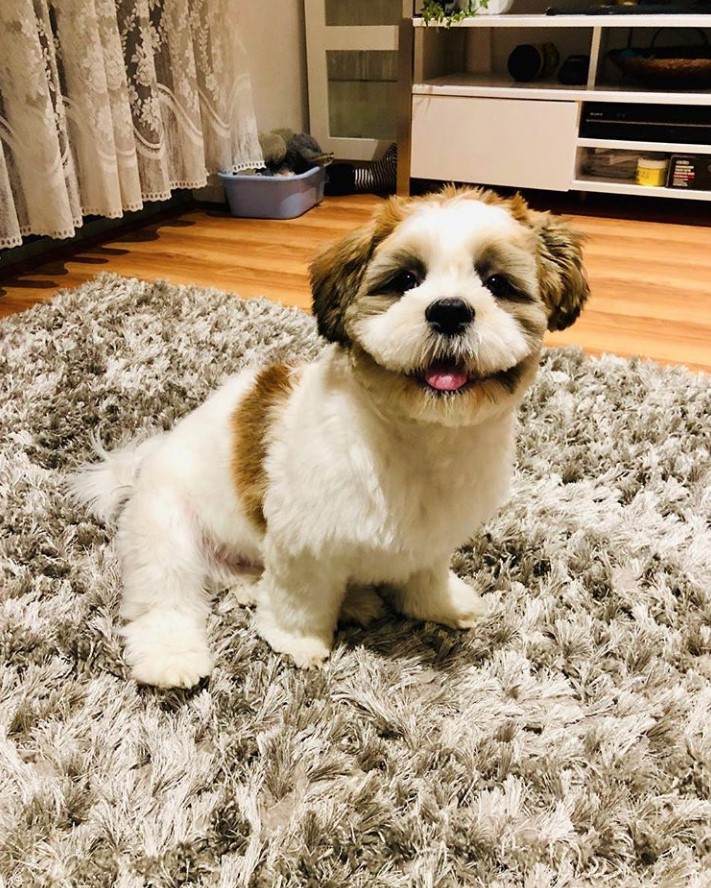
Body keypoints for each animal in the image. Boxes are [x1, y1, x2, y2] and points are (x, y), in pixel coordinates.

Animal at [71, 186, 588, 688]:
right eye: (405, 280)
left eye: (497, 284)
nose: (449, 311)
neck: (416, 436)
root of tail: (140, 468)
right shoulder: (302, 542)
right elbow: (300, 599)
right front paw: (296, 641)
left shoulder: (431, 539)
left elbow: (424, 578)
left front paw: (439, 605)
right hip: (165, 526)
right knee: (165, 595)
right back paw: (171, 657)